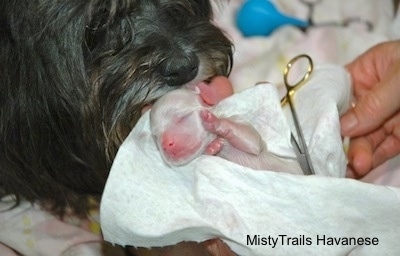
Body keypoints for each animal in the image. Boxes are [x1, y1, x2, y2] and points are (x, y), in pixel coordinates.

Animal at [149, 79, 300, 173]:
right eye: (156, 137)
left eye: (182, 117)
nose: (166, 144)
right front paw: (212, 148)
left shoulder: (245, 127)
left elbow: (252, 141)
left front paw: (214, 122)